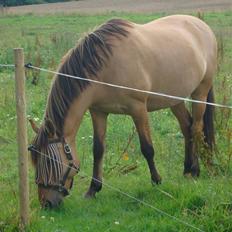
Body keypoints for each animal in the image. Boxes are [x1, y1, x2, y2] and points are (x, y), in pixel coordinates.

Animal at [29, 15, 218, 208]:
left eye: (50, 160)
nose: (46, 203)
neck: (105, 67)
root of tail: (202, 25)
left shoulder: (138, 109)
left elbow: (147, 148)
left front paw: (156, 180)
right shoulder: (98, 112)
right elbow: (98, 149)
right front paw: (93, 189)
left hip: (200, 92)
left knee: (196, 129)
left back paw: (194, 171)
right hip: (175, 99)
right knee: (187, 127)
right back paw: (187, 169)